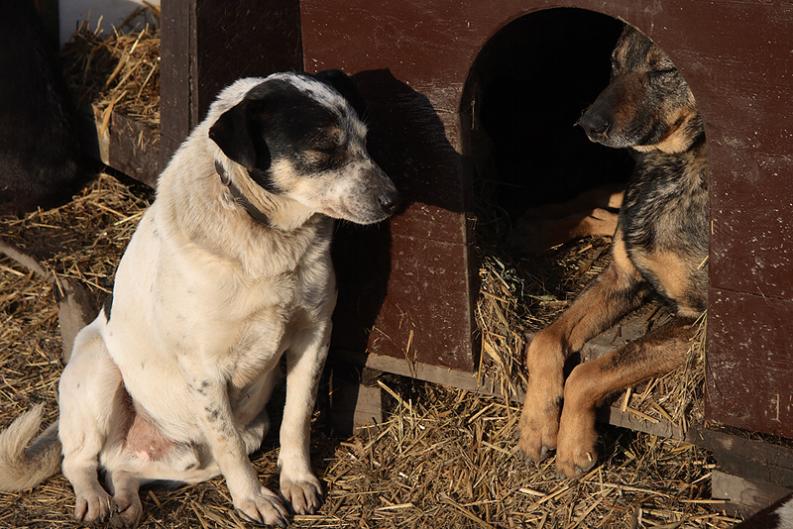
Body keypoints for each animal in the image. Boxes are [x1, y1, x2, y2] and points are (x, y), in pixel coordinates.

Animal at [516, 24, 708, 476]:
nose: (587, 123)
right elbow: (545, 340)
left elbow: (589, 372)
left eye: (666, 69)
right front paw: (535, 427)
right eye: (614, 63)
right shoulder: (620, 279)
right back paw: (535, 225)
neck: (668, 168)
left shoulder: (699, 322)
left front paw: (572, 445)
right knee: (606, 204)